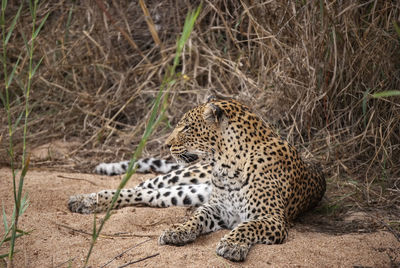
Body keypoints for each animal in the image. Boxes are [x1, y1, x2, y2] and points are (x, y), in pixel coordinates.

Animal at [69, 98, 324, 262]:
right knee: (141, 187)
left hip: (184, 193)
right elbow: (196, 217)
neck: (227, 167)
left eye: (187, 128)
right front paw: (179, 231)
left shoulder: (271, 218)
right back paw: (85, 200)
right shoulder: (216, 208)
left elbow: (248, 226)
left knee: (149, 196)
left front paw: (232, 245)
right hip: (183, 175)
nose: (167, 145)